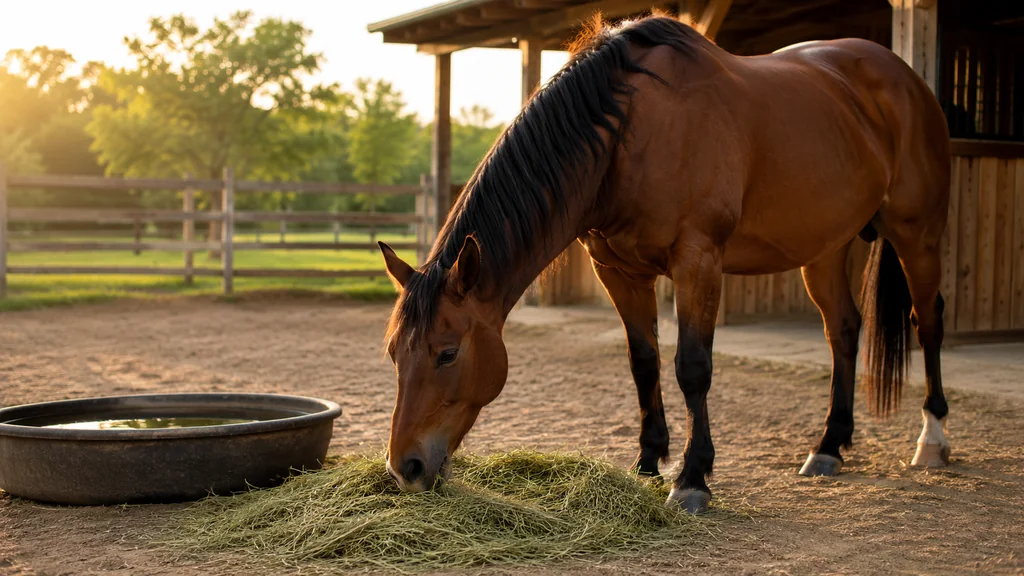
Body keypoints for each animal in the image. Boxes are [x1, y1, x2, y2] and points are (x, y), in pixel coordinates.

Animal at [377, 14, 951, 514]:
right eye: (393, 354)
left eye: (447, 354)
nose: (405, 467)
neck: (629, 135)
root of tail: (903, 78)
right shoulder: (618, 270)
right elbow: (644, 361)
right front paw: (648, 460)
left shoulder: (698, 262)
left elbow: (692, 367)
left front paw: (693, 478)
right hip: (825, 249)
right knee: (844, 330)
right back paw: (830, 445)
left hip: (917, 234)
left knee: (928, 322)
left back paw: (932, 440)